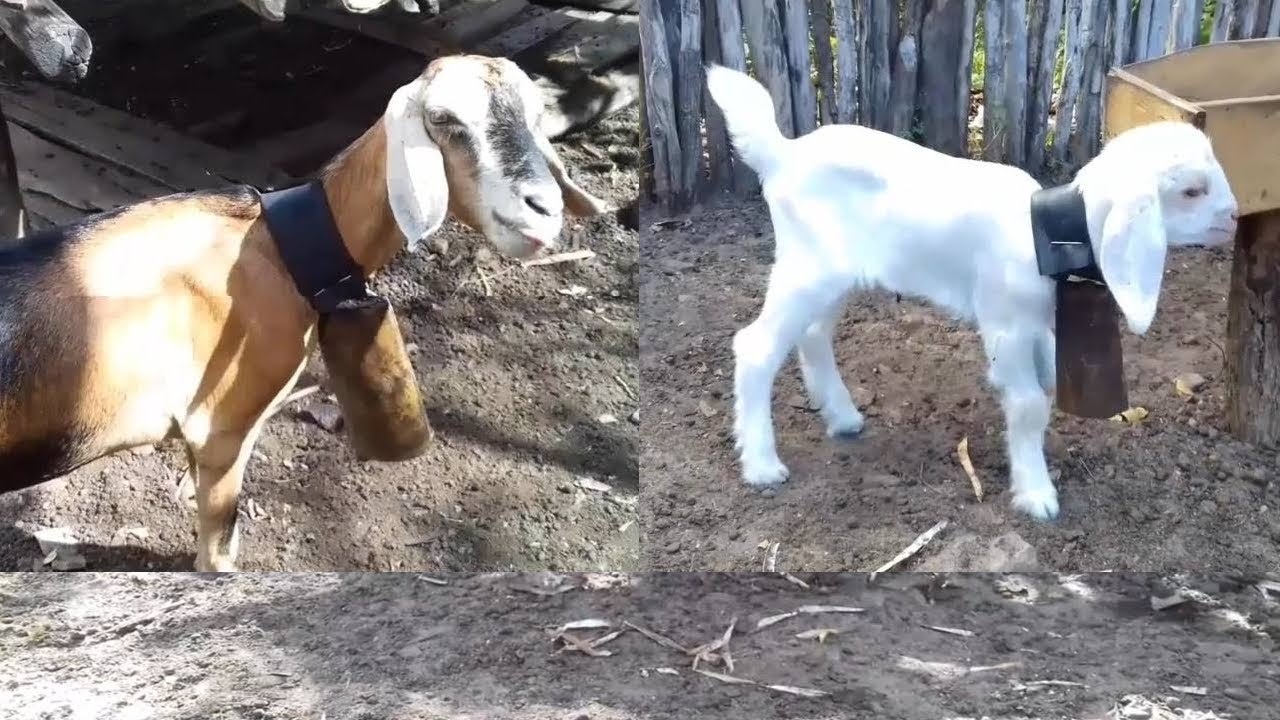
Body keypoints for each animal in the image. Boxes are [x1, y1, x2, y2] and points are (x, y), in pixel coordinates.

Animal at [0, 55, 609, 570]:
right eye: (445, 119)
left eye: (537, 115)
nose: (543, 210)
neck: (275, 246)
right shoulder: (224, 426)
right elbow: (217, 551)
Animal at [705, 65, 1239, 521]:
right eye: (1191, 191)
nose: (1233, 217)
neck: (1043, 235)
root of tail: (783, 154)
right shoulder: (1006, 325)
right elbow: (1027, 404)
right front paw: (1036, 493)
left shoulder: (1038, 325)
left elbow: (1047, 382)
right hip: (807, 267)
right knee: (756, 346)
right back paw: (761, 463)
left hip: (835, 273)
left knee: (813, 333)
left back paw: (842, 416)